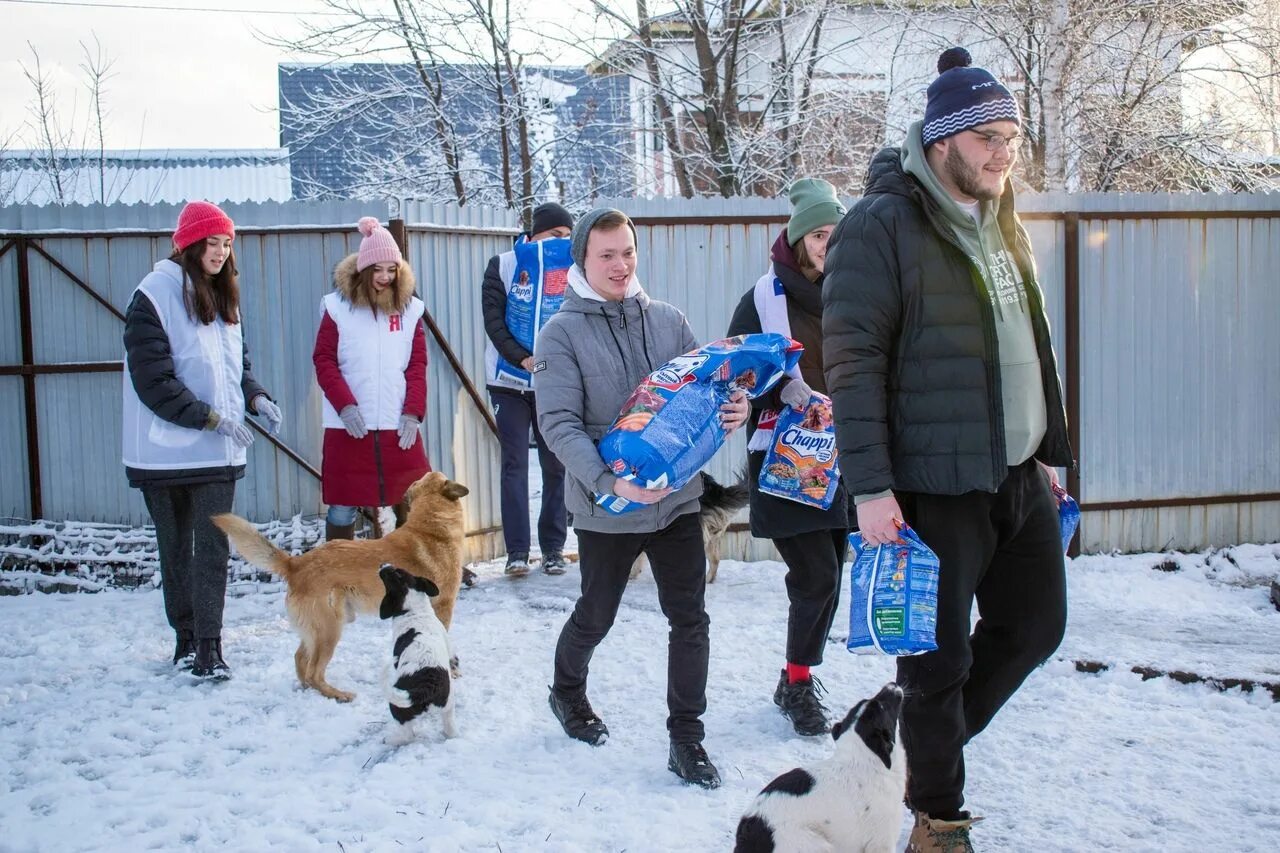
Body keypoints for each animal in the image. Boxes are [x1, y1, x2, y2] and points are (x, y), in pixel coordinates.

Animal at [212, 468, 473, 701]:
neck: (430, 526)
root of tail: (296, 563)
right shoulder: (443, 606)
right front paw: (451, 669)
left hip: (317, 630)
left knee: (300, 660)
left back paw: (310, 690)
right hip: (330, 630)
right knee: (314, 671)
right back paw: (338, 694)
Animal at [373, 560, 460, 742]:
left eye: (396, 572)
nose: (383, 564)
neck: (414, 611)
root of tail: (426, 686)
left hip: (398, 707)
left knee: (407, 735)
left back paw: (390, 740)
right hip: (448, 705)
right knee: (450, 729)